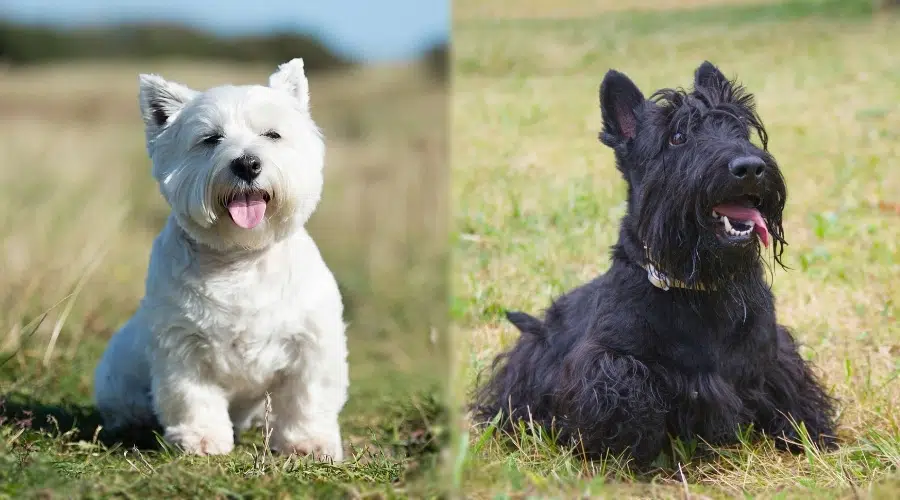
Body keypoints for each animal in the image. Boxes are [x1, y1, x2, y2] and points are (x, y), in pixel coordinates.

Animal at [94, 59, 348, 460]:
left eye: (272, 134)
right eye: (211, 138)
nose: (247, 164)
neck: (240, 258)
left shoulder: (312, 343)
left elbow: (307, 398)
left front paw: (307, 443)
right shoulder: (182, 346)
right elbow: (192, 396)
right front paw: (201, 439)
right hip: (117, 372)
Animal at [472, 61, 836, 464]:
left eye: (740, 129)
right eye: (677, 137)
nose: (750, 167)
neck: (696, 286)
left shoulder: (773, 359)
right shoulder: (608, 367)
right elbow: (631, 392)